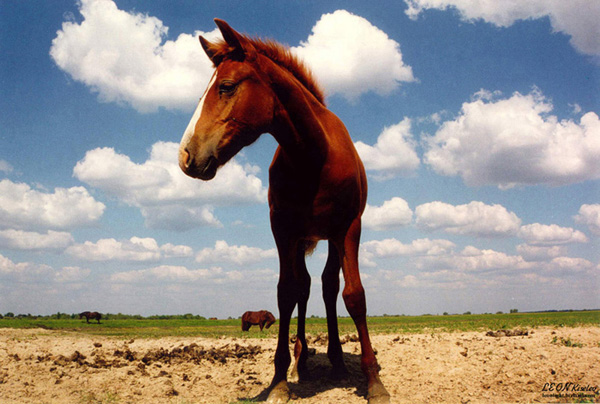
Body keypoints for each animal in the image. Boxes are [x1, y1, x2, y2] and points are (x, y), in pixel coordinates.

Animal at [179, 19, 390, 404]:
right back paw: (300, 361)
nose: (185, 156)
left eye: (226, 87)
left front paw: (374, 383)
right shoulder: (283, 231)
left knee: (328, 286)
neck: (314, 155)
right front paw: (279, 380)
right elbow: (287, 293)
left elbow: (354, 296)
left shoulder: (349, 228)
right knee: (305, 287)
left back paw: (337, 362)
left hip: (331, 238)